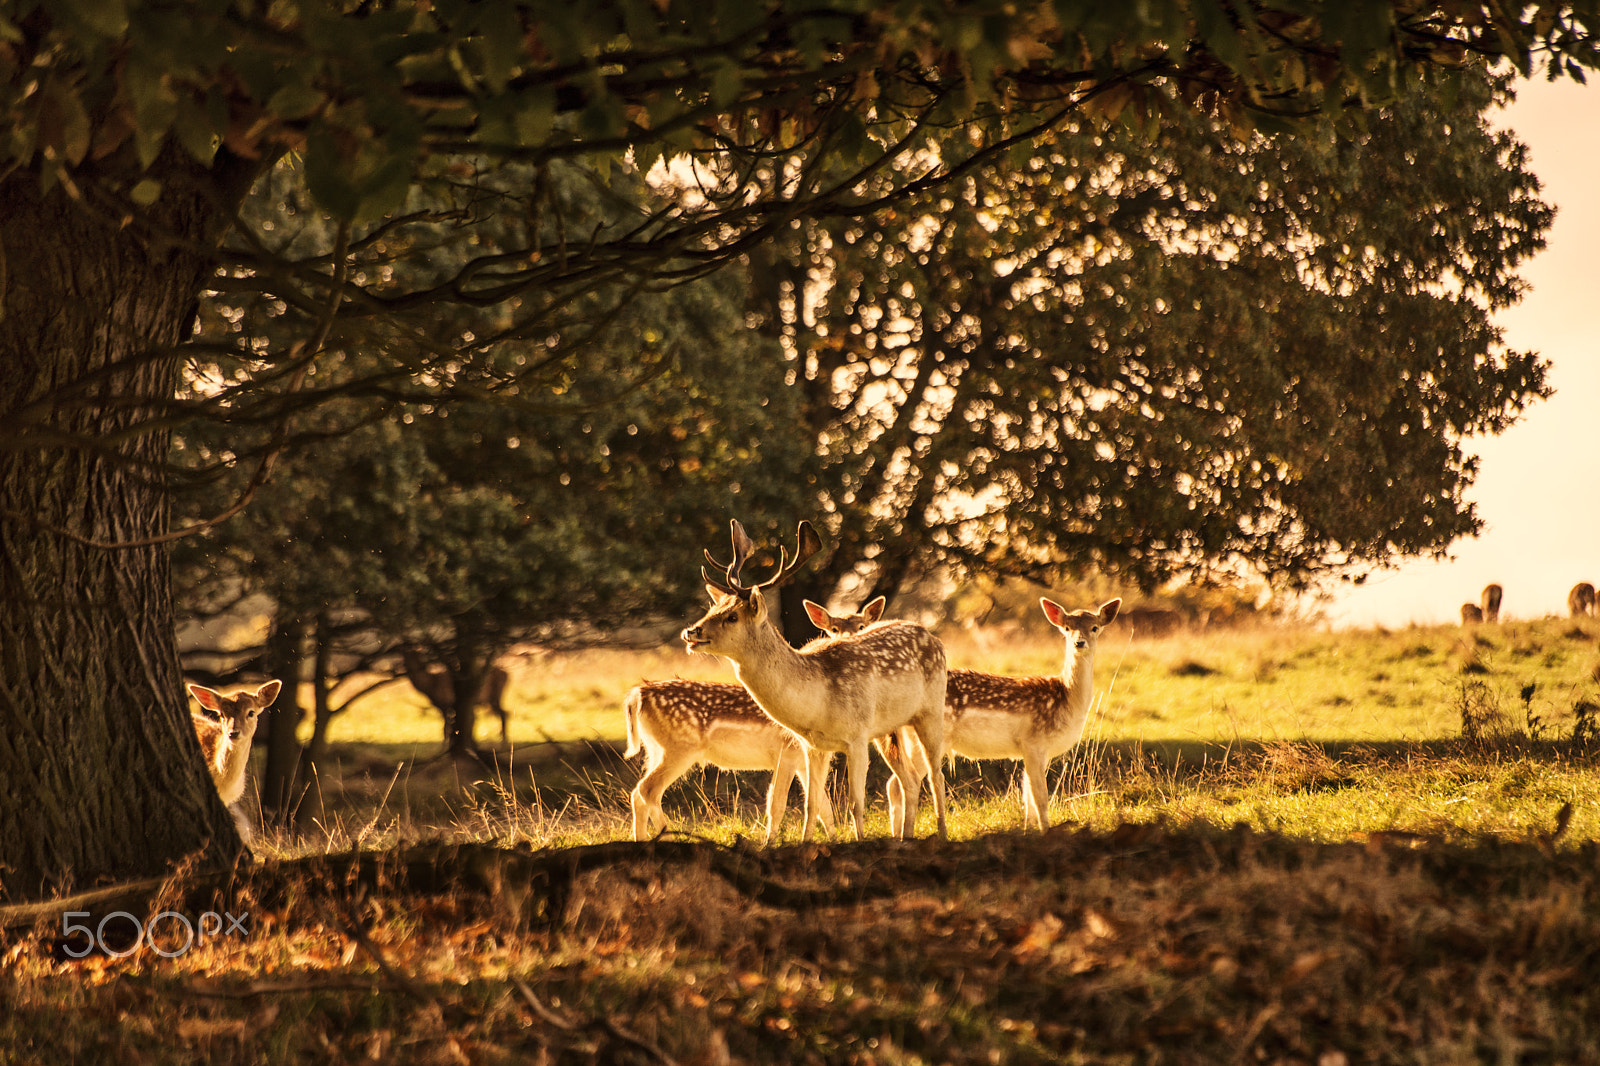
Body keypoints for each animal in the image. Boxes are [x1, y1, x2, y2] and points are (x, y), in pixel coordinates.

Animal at [681, 521, 949, 841]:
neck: (818, 702)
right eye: (712, 610)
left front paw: (859, 841)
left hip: (931, 710)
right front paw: (806, 844)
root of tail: (931, 636)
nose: (691, 631)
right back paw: (904, 837)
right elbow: (811, 805)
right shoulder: (814, 746)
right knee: (909, 779)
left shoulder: (857, 736)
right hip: (890, 730)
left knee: (936, 774)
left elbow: (855, 803)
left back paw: (941, 833)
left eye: (732, 616)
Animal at [868, 598, 1122, 833]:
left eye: (1094, 627)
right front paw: (1046, 832)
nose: (1080, 642)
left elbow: (1028, 797)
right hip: (926, 739)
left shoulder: (1040, 751)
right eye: (1067, 627)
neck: (1066, 699)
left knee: (895, 783)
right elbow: (1040, 797)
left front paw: (1029, 831)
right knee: (900, 783)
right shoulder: (1033, 742)